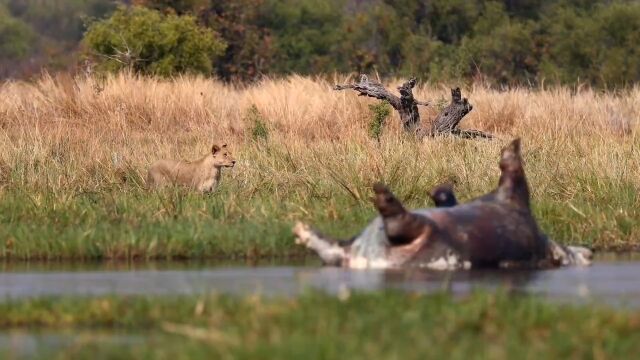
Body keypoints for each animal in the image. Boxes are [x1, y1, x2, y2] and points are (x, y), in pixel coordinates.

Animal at [292, 139, 592, 268]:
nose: (588, 253)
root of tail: (361, 258)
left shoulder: (514, 196)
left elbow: (513, 174)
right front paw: (442, 191)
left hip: (422, 233)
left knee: (403, 223)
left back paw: (383, 196)